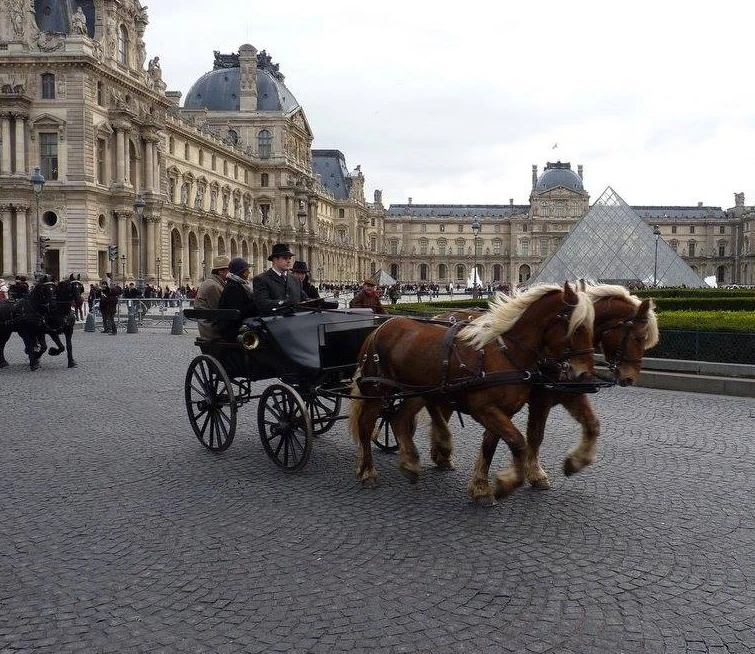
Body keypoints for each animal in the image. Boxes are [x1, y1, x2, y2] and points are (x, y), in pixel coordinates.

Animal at [350, 282, 596, 502]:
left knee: (399, 418)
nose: (584, 375)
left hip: (416, 391)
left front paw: (481, 488)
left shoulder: (502, 411)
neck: (507, 353)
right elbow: (518, 441)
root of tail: (381, 326)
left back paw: (411, 464)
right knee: (366, 424)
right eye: (577, 328)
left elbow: (492, 445)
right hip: (377, 389)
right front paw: (506, 483)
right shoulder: (484, 409)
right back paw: (368, 472)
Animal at [432, 282, 660, 492]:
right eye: (639, 338)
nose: (630, 378)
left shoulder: (569, 392)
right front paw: (534, 473)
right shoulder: (539, 397)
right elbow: (533, 434)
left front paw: (575, 462)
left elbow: (592, 424)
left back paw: (441, 454)